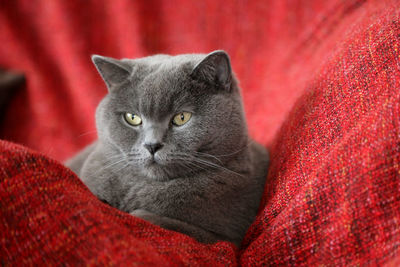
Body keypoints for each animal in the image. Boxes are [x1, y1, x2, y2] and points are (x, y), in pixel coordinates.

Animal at [66, 50, 268, 247]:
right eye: (132, 117)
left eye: (182, 117)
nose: (151, 145)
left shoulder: (231, 239)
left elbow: (161, 221)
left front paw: (136, 213)